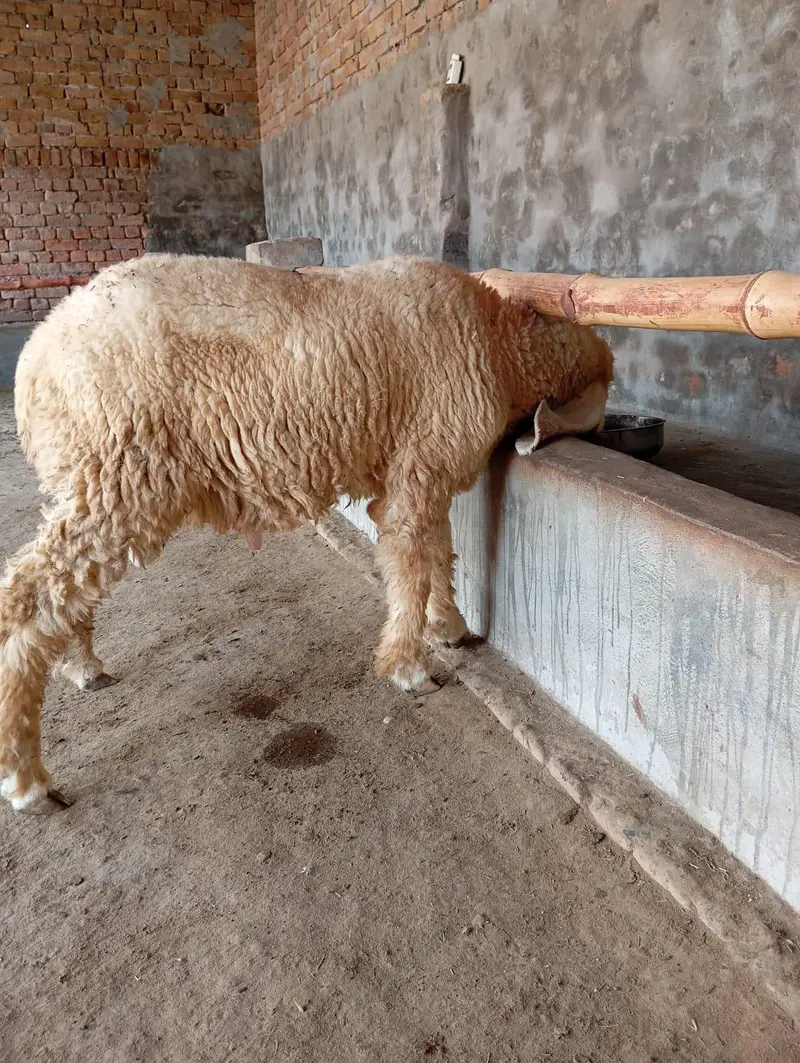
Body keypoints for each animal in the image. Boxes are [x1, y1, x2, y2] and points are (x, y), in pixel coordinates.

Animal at [0, 253, 613, 812]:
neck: (497, 339)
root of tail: (34, 362)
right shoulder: (422, 465)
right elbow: (413, 561)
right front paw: (408, 666)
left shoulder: (419, 470)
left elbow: (439, 551)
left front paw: (449, 625)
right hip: (117, 475)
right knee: (27, 596)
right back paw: (27, 778)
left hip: (86, 484)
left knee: (65, 595)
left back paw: (83, 667)